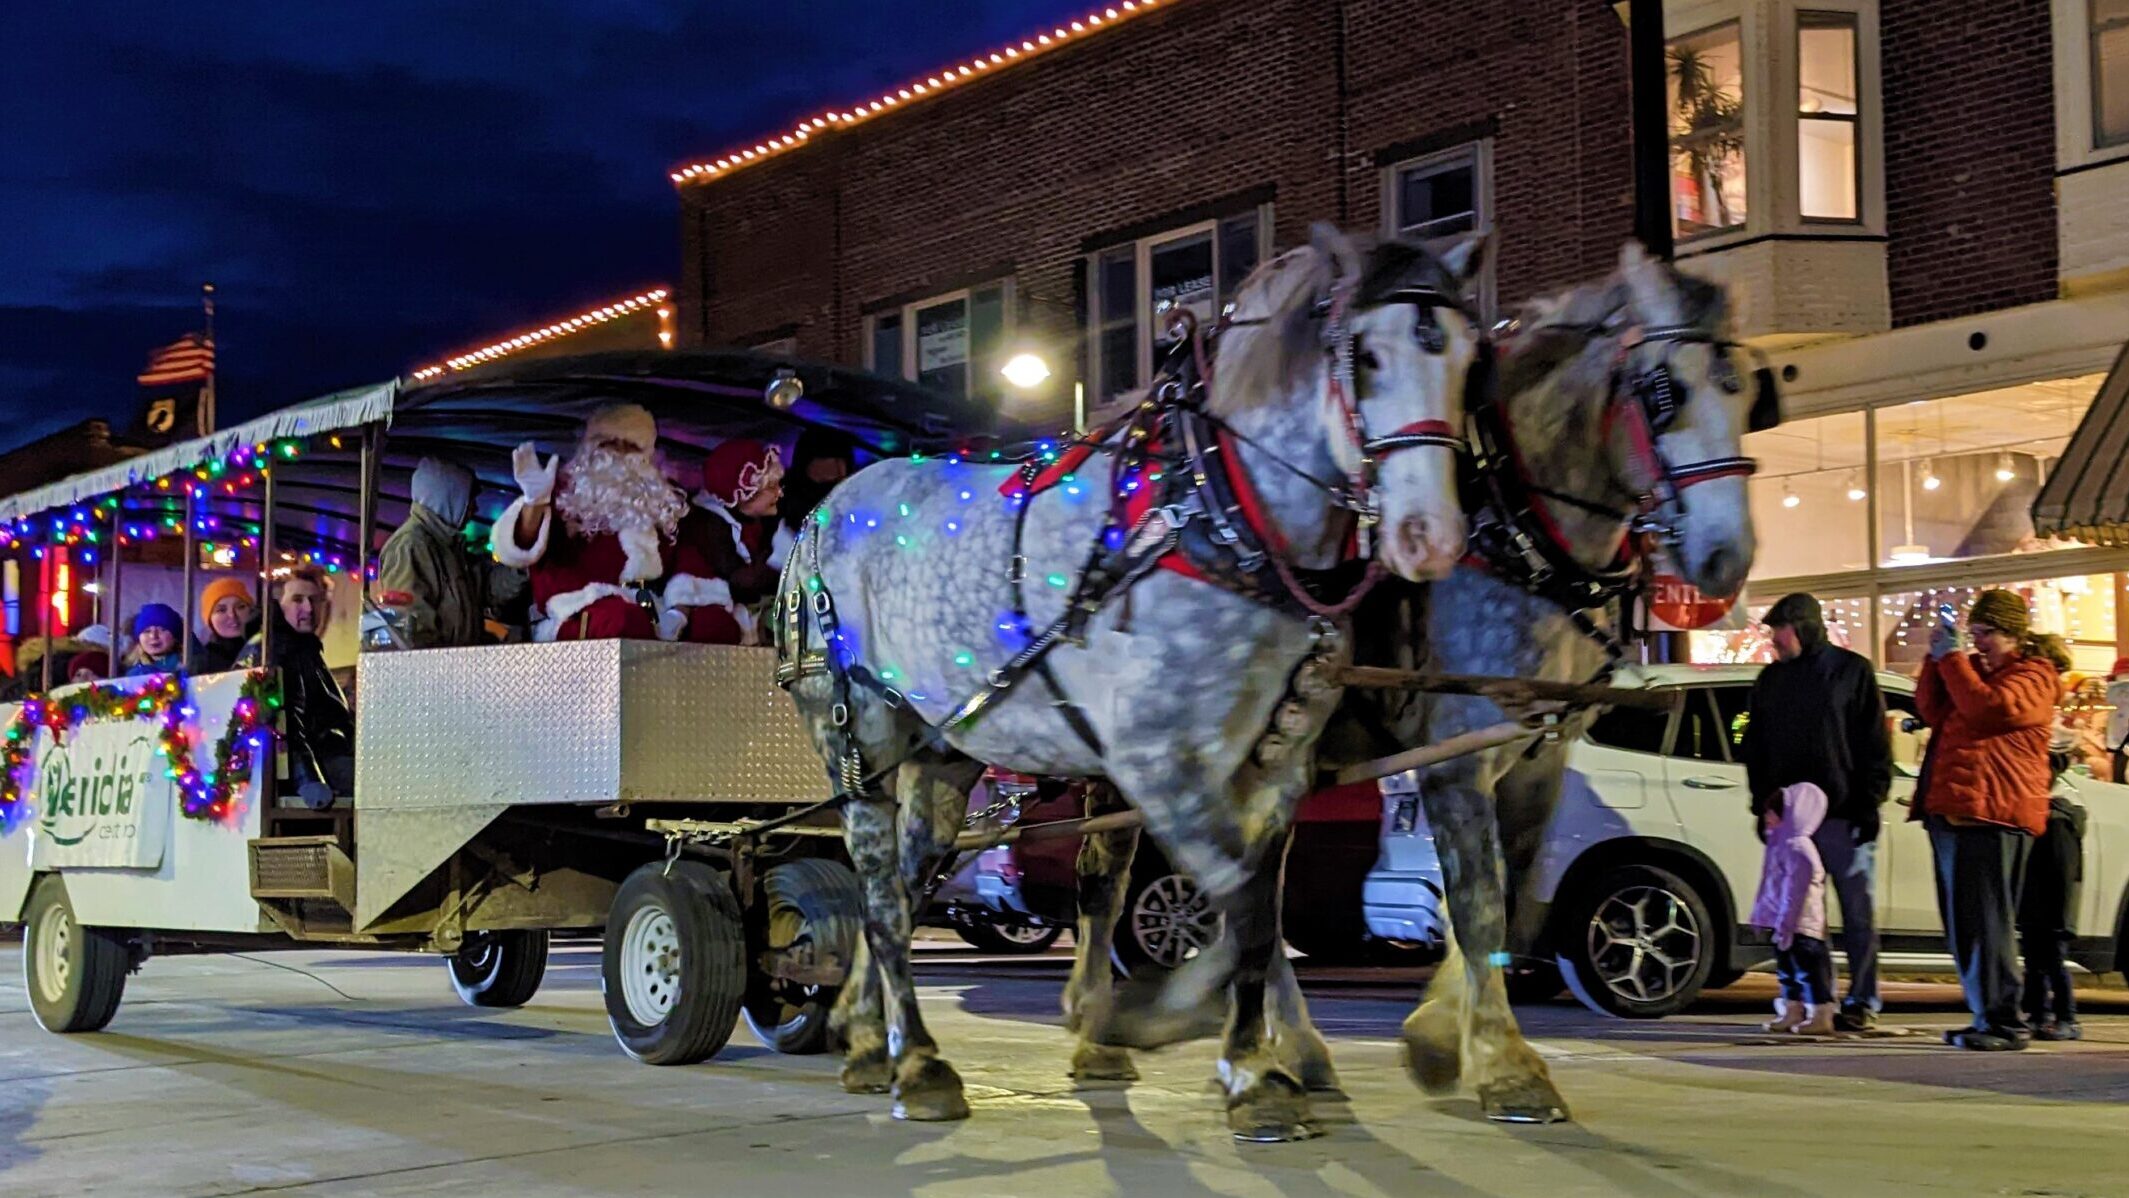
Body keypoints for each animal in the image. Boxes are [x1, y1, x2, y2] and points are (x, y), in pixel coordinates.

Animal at [779, 227, 1481, 1132]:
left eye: (1467, 354)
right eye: (1365, 355)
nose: (1430, 535)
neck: (1210, 511)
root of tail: (821, 513)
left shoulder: (1274, 766)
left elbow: (1257, 910)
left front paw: (1250, 1053)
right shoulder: (1157, 761)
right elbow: (1239, 902)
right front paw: (1220, 1051)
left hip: (940, 749)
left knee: (903, 881)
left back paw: (871, 1041)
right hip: (855, 731)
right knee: (878, 892)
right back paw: (922, 1064)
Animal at [1055, 241, 1754, 1132]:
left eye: (1744, 389)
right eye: (1665, 392)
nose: (1725, 557)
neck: (1510, 523)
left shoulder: (1536, 753)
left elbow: (1508, 895)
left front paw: (1435, 1038)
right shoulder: (1457, 750)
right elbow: (1478, 900)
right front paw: (1502, 1065)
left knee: (1250, 883)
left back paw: (1290, 1051)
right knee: (1105, 877)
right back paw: (1099, 1031)